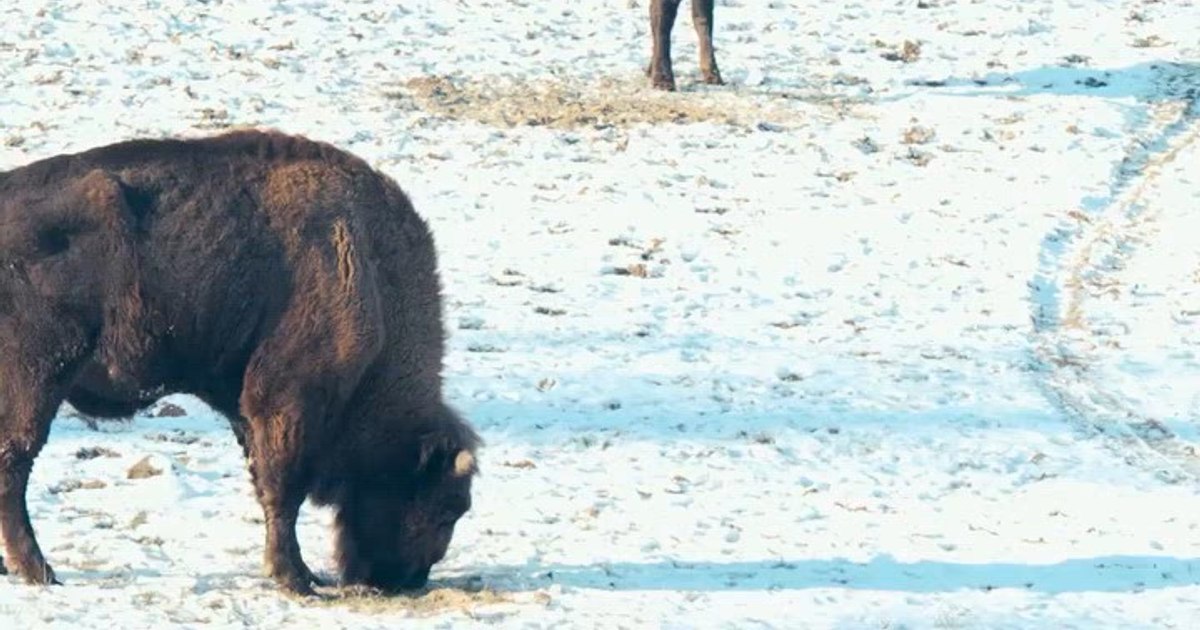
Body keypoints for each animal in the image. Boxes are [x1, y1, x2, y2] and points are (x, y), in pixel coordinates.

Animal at [0, 129, 480, 595]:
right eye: (445, 508)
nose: (406, 580)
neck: (372, 272)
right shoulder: (288, 403)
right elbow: (283, 490)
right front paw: (296, 579)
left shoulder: (247, 410)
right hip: (38, 377)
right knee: (15, 461)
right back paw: (40, 571)